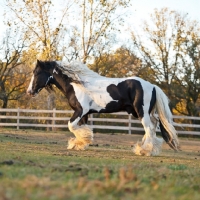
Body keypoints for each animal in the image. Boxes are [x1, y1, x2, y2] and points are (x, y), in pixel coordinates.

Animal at [27, 59, 179, 156]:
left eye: (37, 73)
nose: (29, 92)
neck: (76, 84)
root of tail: (152, 86)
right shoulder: (85, 114)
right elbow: (80, 128)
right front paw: (80, 143)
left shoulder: (80, 111)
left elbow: (71, 125)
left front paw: (77, 143)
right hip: (144, 113)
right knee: (153, 126)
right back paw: (146, 149)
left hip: (142, 113)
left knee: (149, 128)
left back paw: (144, 151)